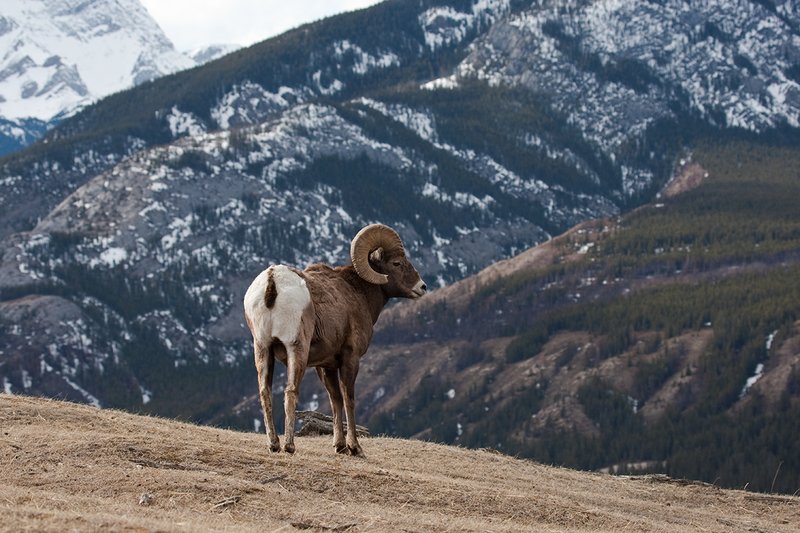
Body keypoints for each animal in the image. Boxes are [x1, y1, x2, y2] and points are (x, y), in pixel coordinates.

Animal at [243, 224, 427, 456]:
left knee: (265, 391)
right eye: (396, 263)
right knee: (291, 390)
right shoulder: (350, 358)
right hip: (296, 348)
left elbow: (335, 399)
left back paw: (274, 444)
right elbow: (348, 398)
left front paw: (339, 446)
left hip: (262, 348)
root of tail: (272, 281)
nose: (422, 287)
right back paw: (289, 446)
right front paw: (355, 448)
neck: (358, 293)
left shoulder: (326, 365)